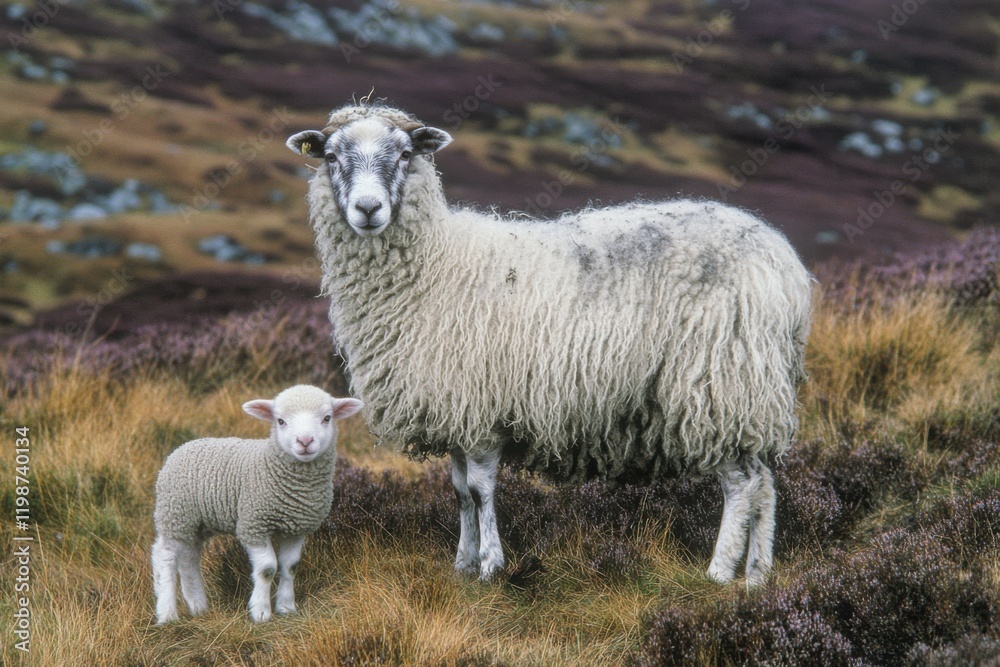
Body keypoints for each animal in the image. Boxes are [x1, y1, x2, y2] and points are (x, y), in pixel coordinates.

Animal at [152, 384, 362, 624]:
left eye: (327, 418)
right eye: (280, 421)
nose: (305, 441)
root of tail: (184, 446)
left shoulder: (297, 529)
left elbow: (290, 567)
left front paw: (286, 607)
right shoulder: (253, 524)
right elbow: (267, 569)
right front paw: (260, 612)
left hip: (197, 523)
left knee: (188, 559)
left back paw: (198, 606)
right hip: (175, 513)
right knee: (164, 556)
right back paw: (167, 614)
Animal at [285, 102, 811, 586]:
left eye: (404, 154)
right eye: (331, 157)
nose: (368, 209)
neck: (435, 264)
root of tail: (786, 266)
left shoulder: (481, 407)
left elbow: (480, 489)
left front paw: (490, 567)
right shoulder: (457, 409)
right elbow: (458, 490)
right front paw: (461, 566)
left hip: (720, 383)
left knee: (742, 484)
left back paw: (720, 572)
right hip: (752, 389)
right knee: (765, 482)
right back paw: (757, 576)